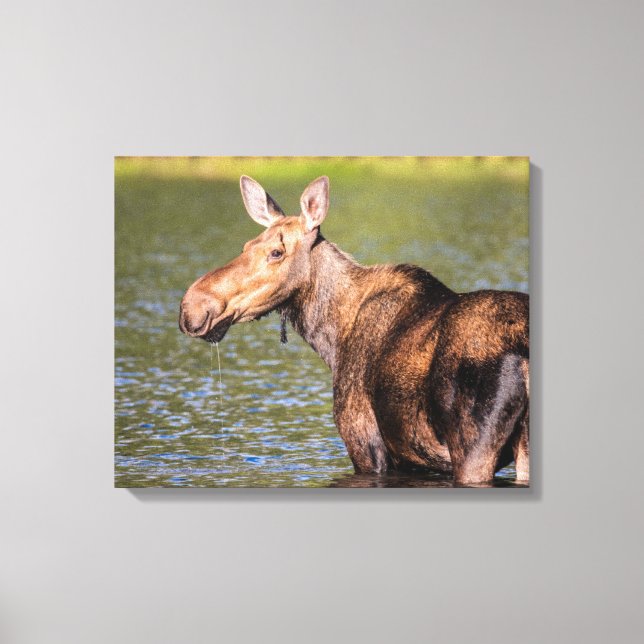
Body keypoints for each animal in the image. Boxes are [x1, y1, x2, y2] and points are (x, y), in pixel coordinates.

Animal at [179, 176, 529, 486]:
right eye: (246, 245)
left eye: (276, 252)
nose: (191, 306)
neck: (331, 339)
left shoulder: (365, 443)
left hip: (473, 447)